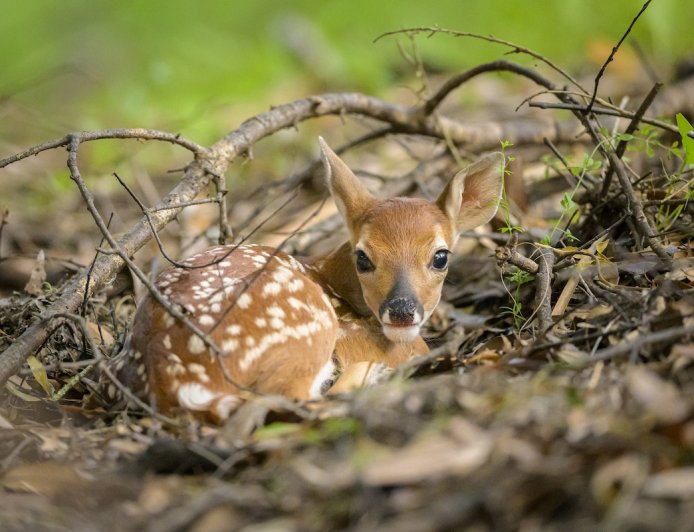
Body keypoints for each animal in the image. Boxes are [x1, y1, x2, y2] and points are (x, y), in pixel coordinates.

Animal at [105, 138, 504, 422]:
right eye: (363, 257)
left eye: (441, 256)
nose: (402, 310)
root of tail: (178, 384)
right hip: (307, 327)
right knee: (297, 398)